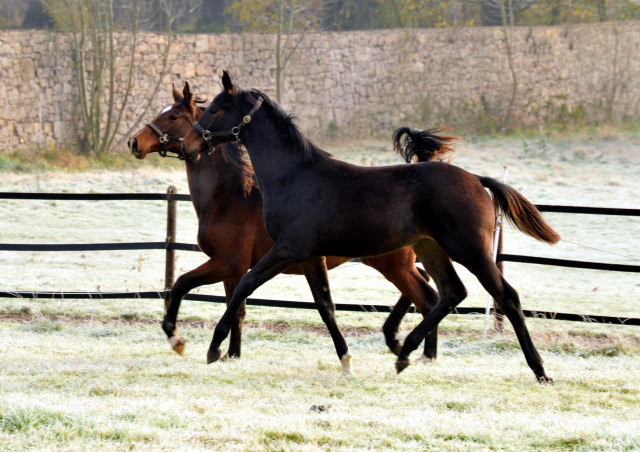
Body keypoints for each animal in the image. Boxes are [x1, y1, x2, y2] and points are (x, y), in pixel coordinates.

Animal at [129, 83, 456, 370]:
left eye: (173, 116)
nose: (134, 142)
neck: (229, 197)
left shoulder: (230, 263)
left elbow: (185, 284)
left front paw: (179, 339)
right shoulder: (236, 267)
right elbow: (238, 309)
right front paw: (231, 354)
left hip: (392, 264)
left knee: (428, 298)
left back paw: (417, 351)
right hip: (397, 262)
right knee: (429, 294)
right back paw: (409, 347)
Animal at [180, 72, 560, 384]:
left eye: (215, 109)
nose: (189, 145)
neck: (295, 176)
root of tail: (477, 180)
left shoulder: (288, 249)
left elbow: (245, 284)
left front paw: (214, 348)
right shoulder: (310, 256)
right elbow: (325, 305)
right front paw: (347, 360)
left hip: (469, 249)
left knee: (505, 297)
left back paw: (540, 371)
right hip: (431, 249)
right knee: (450, 293)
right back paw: (405, 354)